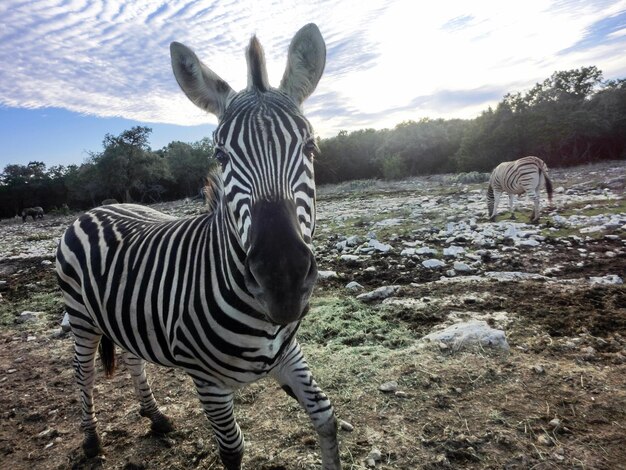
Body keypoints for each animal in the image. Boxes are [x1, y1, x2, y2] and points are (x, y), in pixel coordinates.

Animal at [56, 23, 338, 470]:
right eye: (220, 156)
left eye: (311, 147)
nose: (282, 280)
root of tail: (98, 206)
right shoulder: (208, 382)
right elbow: (232, 449)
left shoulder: (288, 354)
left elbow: (326, 416)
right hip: (81, 317)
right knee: (82, 374)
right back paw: (91, 440)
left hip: (124, 315)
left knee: (133, 356)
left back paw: (155, 416)